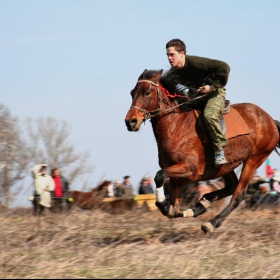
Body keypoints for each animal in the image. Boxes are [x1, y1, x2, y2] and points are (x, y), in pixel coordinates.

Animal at [124, 69, 280, 233]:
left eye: (147, 92)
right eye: (132, 93)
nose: (130, 121)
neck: (176, 127)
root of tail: (270, 120)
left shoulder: (190, 169)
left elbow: (160, 177)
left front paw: (164, 203)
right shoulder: (178, 178)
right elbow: (173, 210)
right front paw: (192, 209)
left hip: (255, 158)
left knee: (239, 194)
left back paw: (211, 223)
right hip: (225, 165)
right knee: (231, 186)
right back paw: (204, 203)